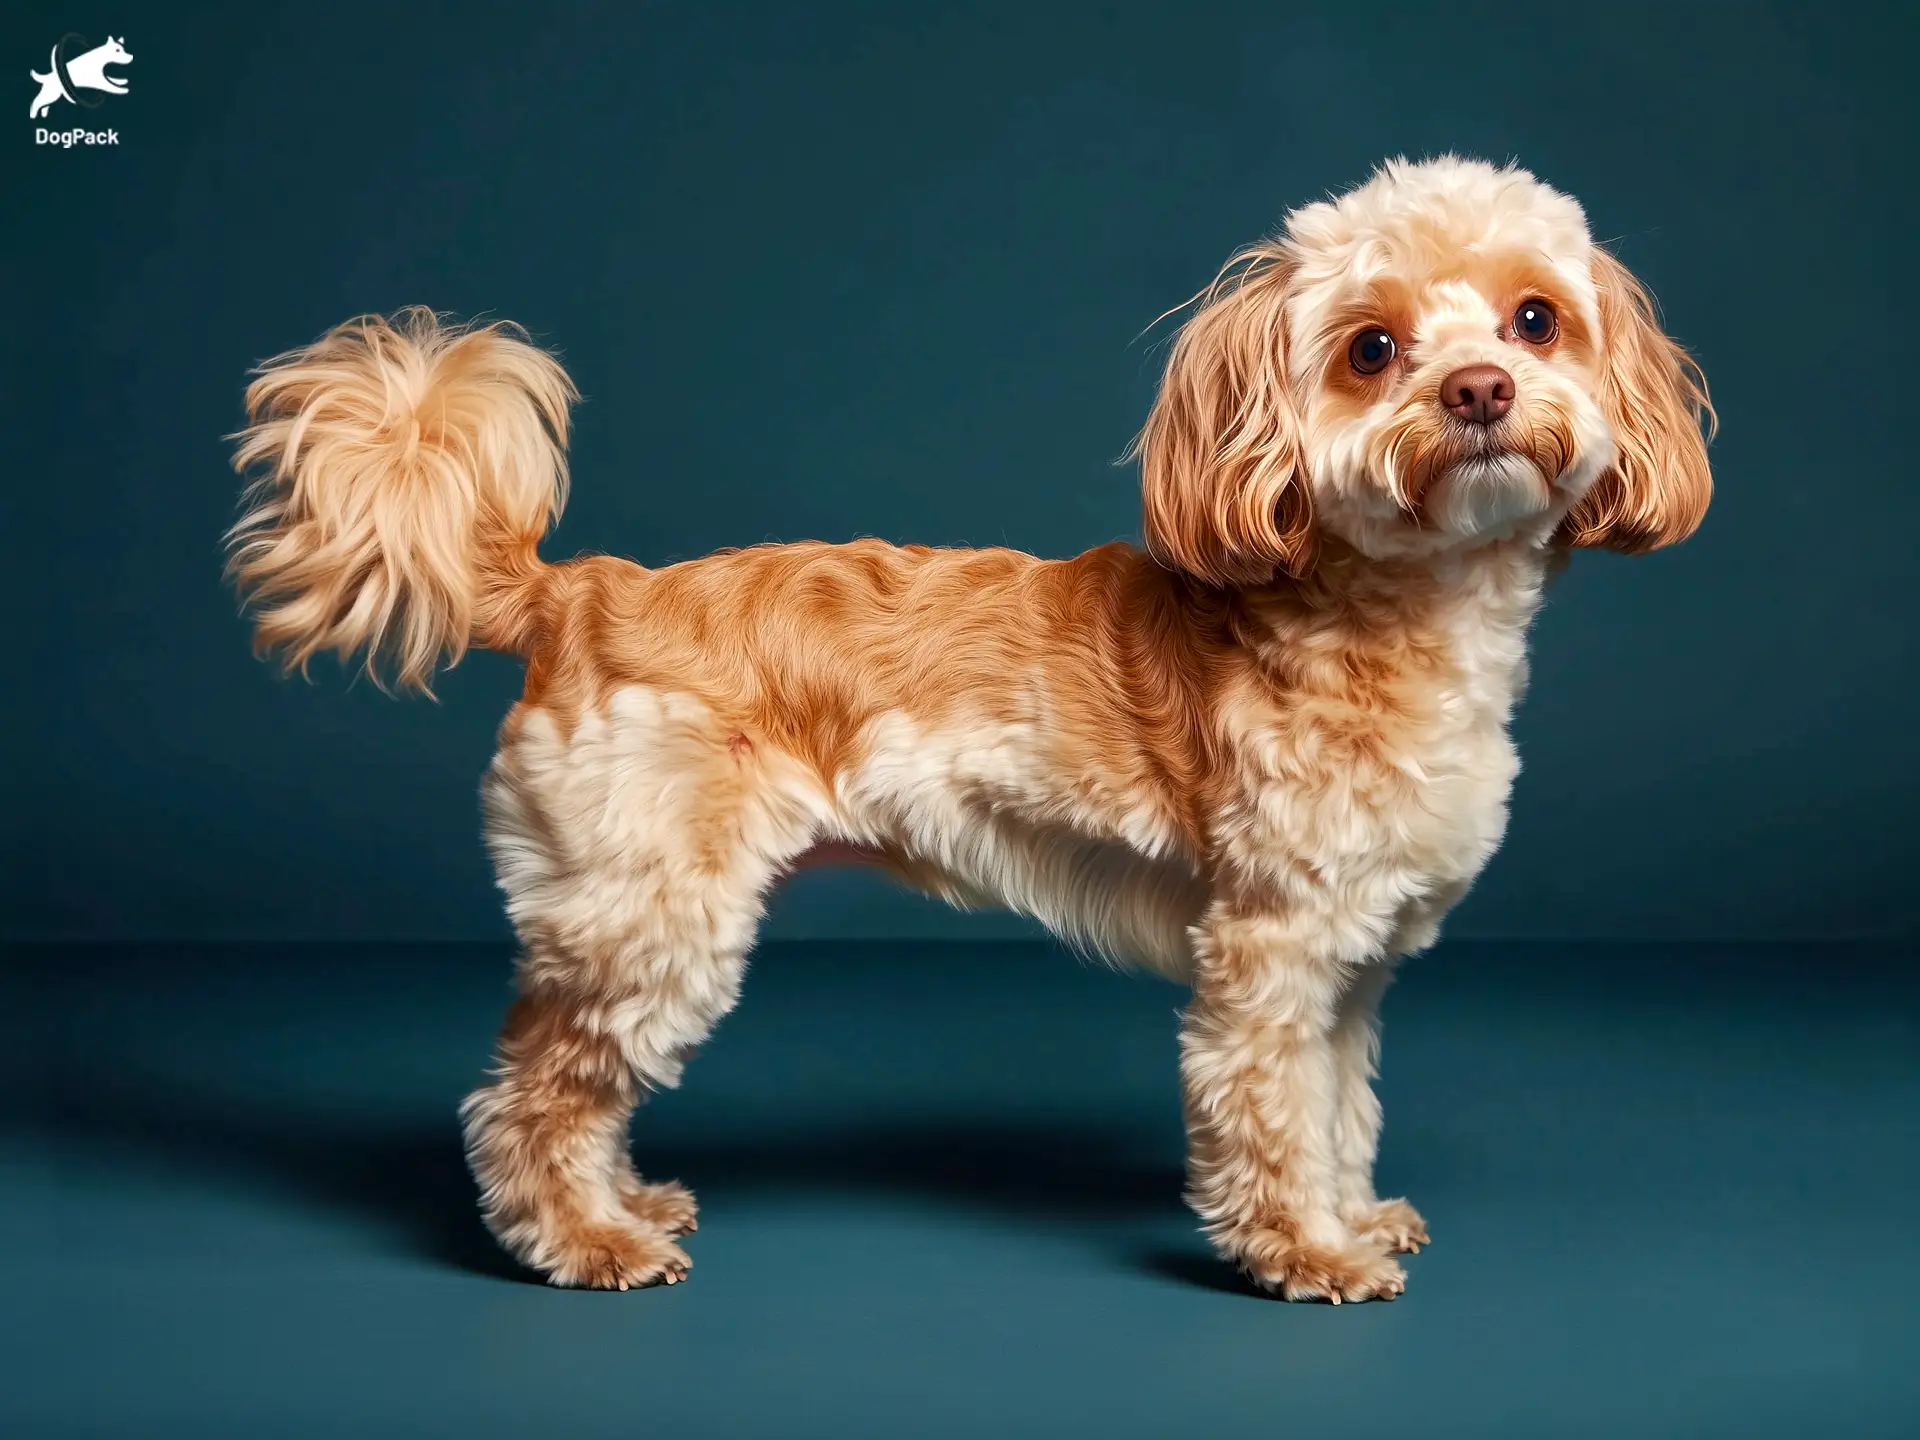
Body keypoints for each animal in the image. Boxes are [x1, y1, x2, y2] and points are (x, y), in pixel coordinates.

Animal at [220, 157, 1712, 1305]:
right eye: (1371, 350)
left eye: (1536, 319)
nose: (1478, 392)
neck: (1386, 612)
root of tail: (573, 589)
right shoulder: (1271, 956)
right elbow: (1275, 1122)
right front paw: (1306, 1256)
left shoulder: (1352, 970)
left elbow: (1340, 1111)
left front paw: (1353, 1218)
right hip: (650, 914)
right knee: (531, 1098)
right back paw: (587, 1240)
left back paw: (625, 1201)